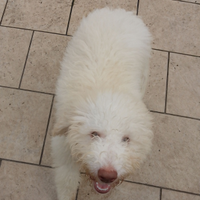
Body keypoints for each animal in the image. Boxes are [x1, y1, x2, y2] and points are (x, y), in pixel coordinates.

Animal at [52, 7, 153, 200]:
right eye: (94, 134)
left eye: (126, 139)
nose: (107, 175)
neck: (106, 88)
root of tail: (118, 11)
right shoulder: (63, 147)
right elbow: (66, 179)